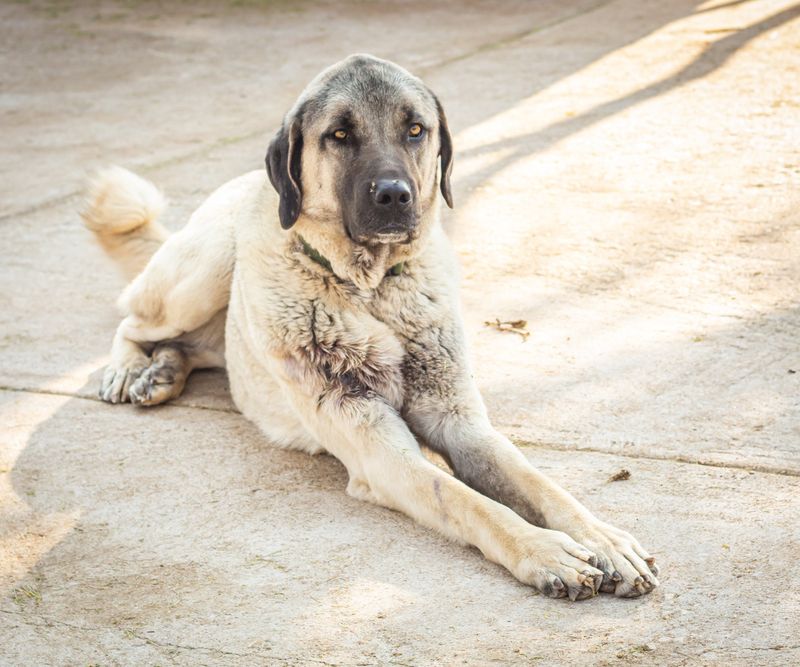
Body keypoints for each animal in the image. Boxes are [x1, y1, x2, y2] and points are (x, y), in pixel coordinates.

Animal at [81, 54, 660, 604]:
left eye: (415, 129)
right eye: (339, 135)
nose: (394, 195)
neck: (371, 288)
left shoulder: (462, 424)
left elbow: (540, 485)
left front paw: (603, 540)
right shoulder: (380, 450)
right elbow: (472, 503)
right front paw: (546, 552)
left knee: (190, 346)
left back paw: (163, 372)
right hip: (205, 267)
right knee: (135, 319)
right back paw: (130, 369)